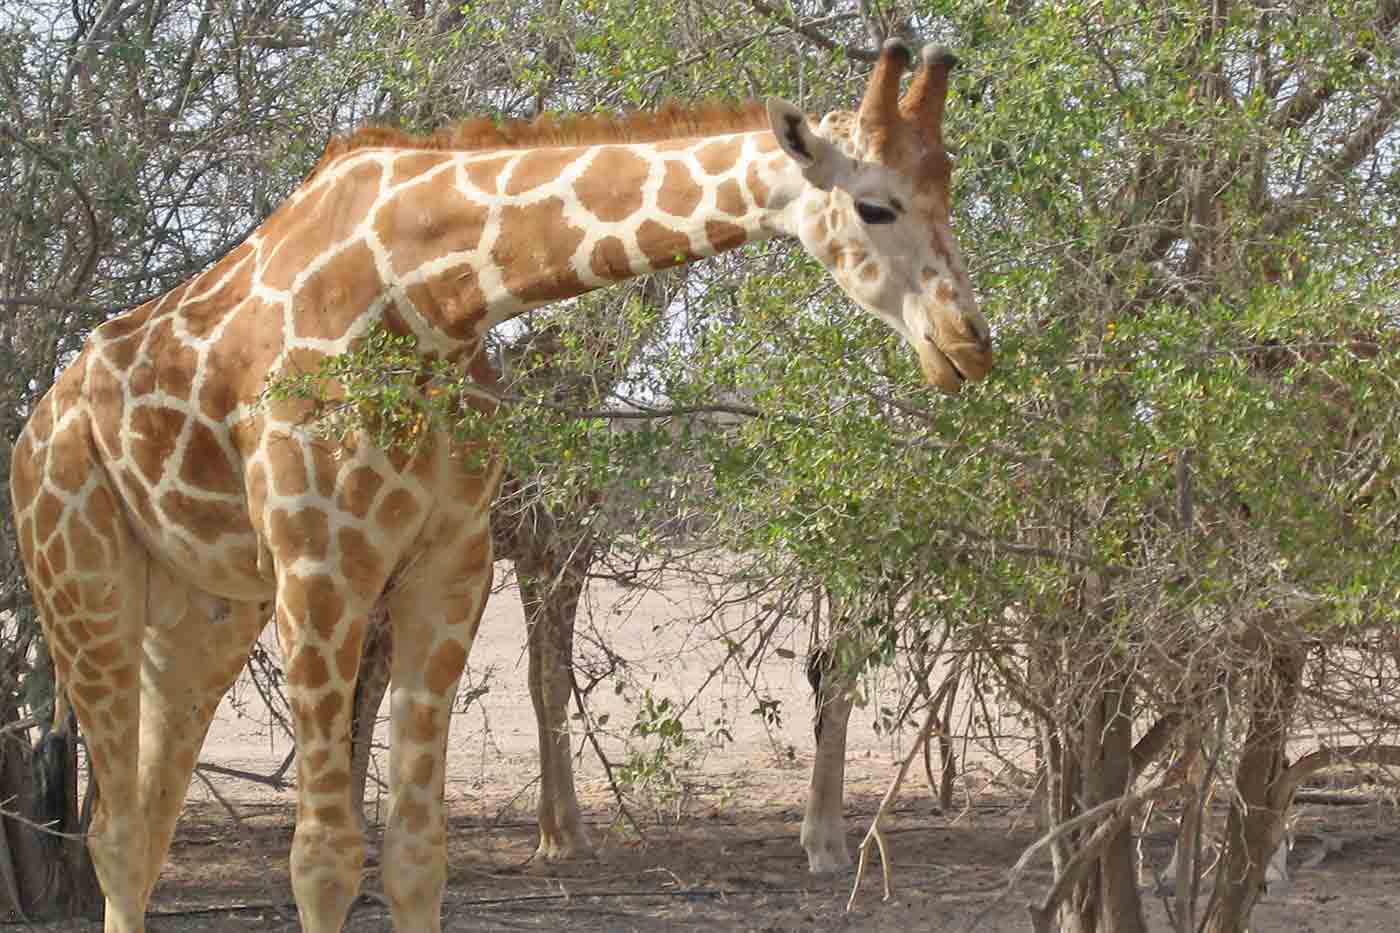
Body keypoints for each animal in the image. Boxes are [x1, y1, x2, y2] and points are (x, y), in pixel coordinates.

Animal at [13, 41, 996, 930]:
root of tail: (32, 429)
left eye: (949, 192)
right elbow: (323, 857)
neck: (432, 296)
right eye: (875, 205)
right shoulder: (321, 568)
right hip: (83, 592)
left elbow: (417, 851)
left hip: (203, 610)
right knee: (114, 831)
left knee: (147, 822)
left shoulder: (452, 562)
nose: (969, 345)